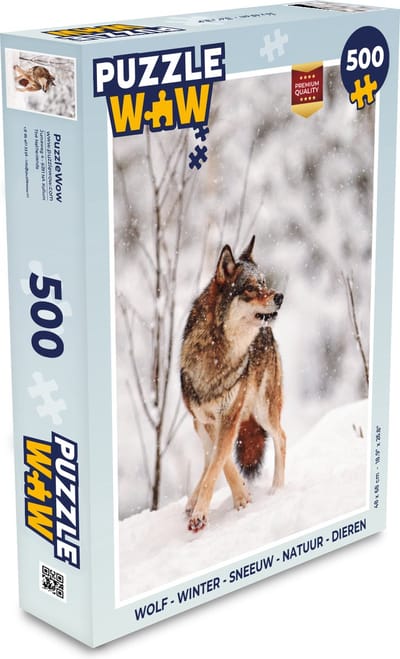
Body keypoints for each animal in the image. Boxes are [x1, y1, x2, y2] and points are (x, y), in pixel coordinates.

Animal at [180, 235, 286, 532]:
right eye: (250, 288)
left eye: (264, 282)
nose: (279, 296)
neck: (218, 353)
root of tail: (268, 333)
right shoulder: (207, 419)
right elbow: (221, 462)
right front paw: (239, 497)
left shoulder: (230, 415)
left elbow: (220, 461)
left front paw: (207, 513)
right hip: (199, 423)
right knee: (207, 456)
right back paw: (192, 500)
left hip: (264, 411)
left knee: (282, 438)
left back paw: (277, 490)